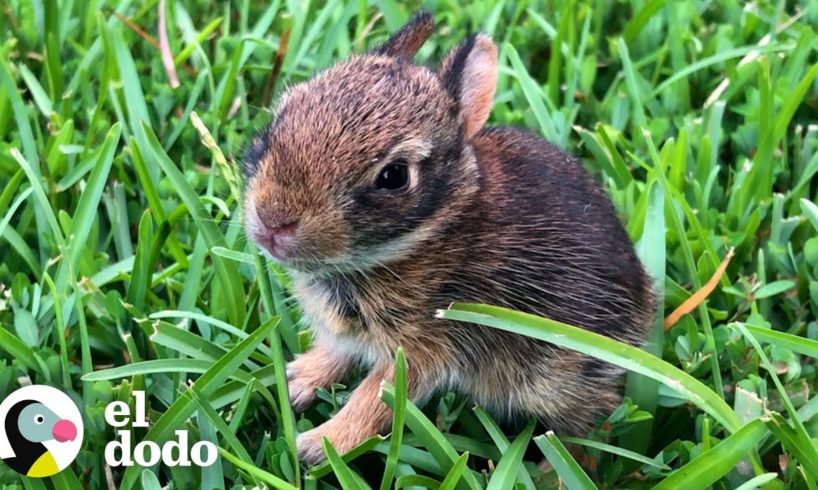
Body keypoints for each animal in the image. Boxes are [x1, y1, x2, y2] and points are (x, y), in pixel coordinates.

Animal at [241, 10, 652, 464]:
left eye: (394, 176)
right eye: (277, 123)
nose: (273, 222)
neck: (429, 232)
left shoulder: (426, 345)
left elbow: (377, 397)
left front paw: (317, 445)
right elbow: (337, 356)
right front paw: (297, 380)